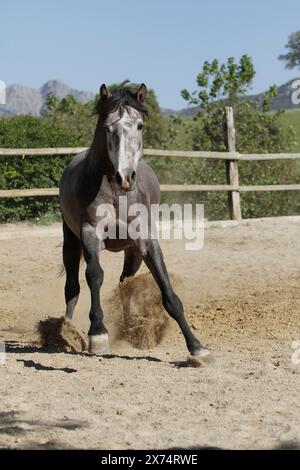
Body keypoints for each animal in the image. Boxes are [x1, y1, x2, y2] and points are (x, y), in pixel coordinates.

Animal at [58, 82, 209, 358]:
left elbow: (167, 289)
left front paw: (197, 348)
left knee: (124, 283)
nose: (125, 177)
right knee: (72, 287)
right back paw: (65, 329)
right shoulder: (89, 234)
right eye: (108, 127)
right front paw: (97, 333)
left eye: (139, 125)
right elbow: (94, 275)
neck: (116, 192)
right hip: (71, 241)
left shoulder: (145, 241)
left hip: (132, 252)